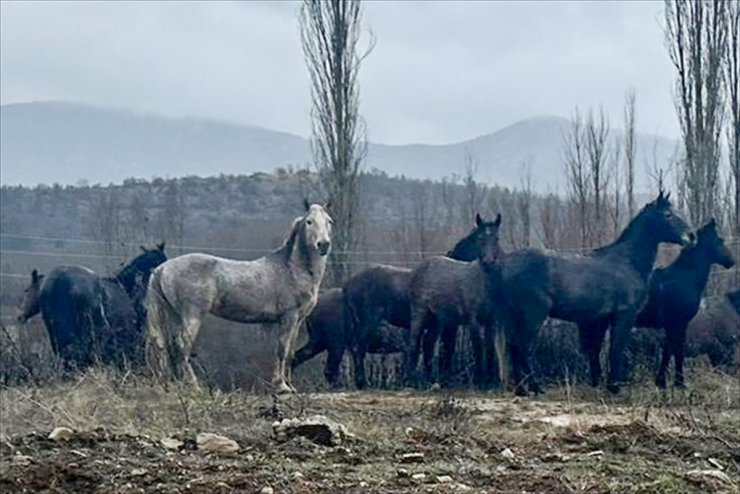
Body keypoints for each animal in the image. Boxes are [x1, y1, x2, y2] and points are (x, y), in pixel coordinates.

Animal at [147, 202, 332, 394]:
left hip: (175, 315)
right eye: (309, 221)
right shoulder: (288, 318)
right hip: (192, 315)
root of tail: (162, 268)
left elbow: (289, 353)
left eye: (329, 221)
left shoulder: (297, 320)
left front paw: (289, 385)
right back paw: (194, 386)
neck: (292, 269)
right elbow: (281, 350)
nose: (324, 245)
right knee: (182, 347)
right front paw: (281, 386)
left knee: (170, 346)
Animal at [404, 212, 502, 386]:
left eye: (496, 238)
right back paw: (411, 380)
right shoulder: (473, 322)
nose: (489, 262)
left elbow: (490, 350)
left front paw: (490, 381)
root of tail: (421, 267)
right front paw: (479, 380)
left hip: (436, 319)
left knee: (428, 343)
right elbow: (478, 349)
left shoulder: (492, 322)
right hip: (419, 313)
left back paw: (430, 380)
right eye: (479, 239)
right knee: (414, 343)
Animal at [498, 191, 692, 396]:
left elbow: (597, 351)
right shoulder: (624, 315)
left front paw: (601, 383)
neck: (627, 262)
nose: (691, 237)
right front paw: (614, 386)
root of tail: (506, 264)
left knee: (513, 347)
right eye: (668, 215)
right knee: (521, 347)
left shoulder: (601, 320)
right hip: (533, 316)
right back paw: (533, 387)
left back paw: (522, 389)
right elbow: (616, 349)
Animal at [636, 221, 736, 390]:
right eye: (720, 240)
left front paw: (662, 383)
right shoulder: (679, 324)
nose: (731, 261)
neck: (681, 278)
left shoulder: (671, 326)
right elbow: (678, 351)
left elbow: (668, 351)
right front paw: (680, 383)